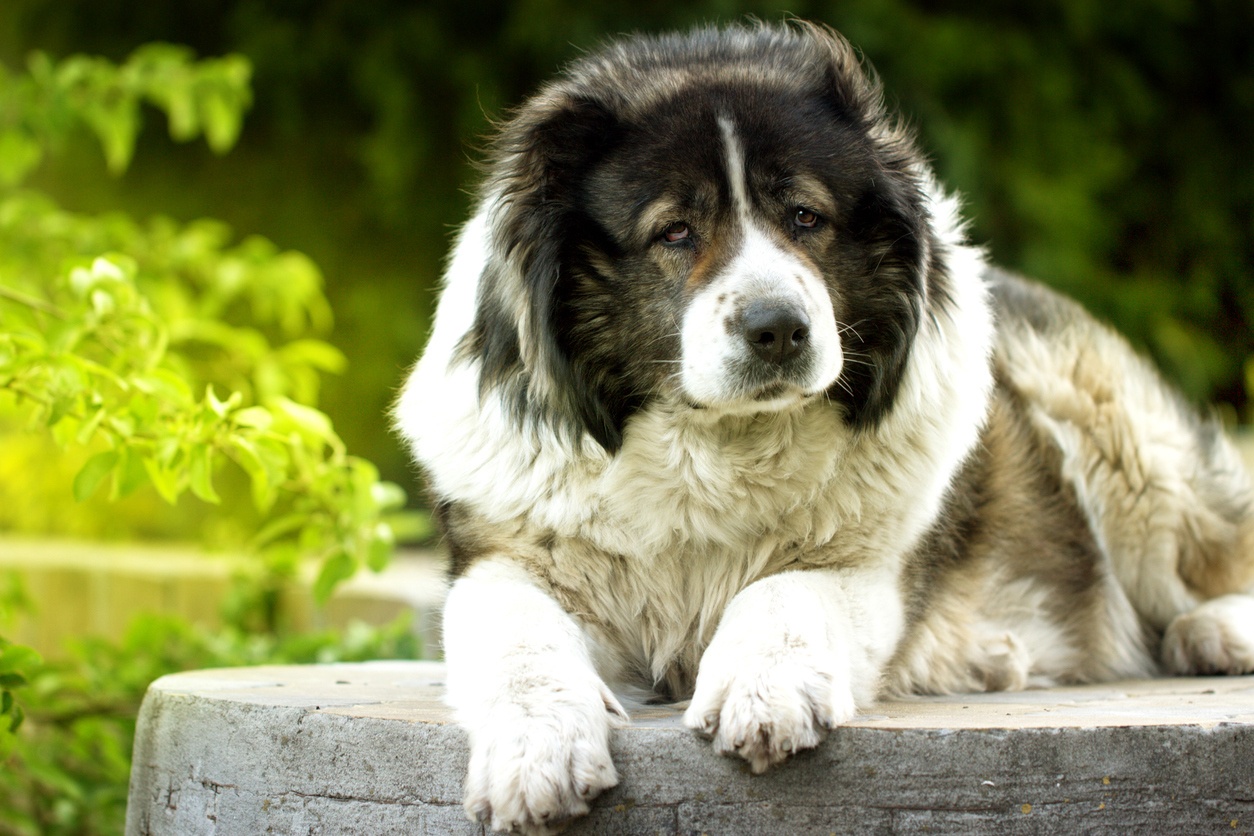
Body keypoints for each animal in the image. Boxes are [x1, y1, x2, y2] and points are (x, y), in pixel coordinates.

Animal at [396, 21, 1254, 836]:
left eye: (805, 217)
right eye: (674, 232)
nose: (778, 328)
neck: (715, 450)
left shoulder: (868, 569)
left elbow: (783, 589)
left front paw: (763, 690)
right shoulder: (503, 560)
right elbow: (519, 638)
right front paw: (534, 754)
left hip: (1116, 438)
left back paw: (1212, 632)